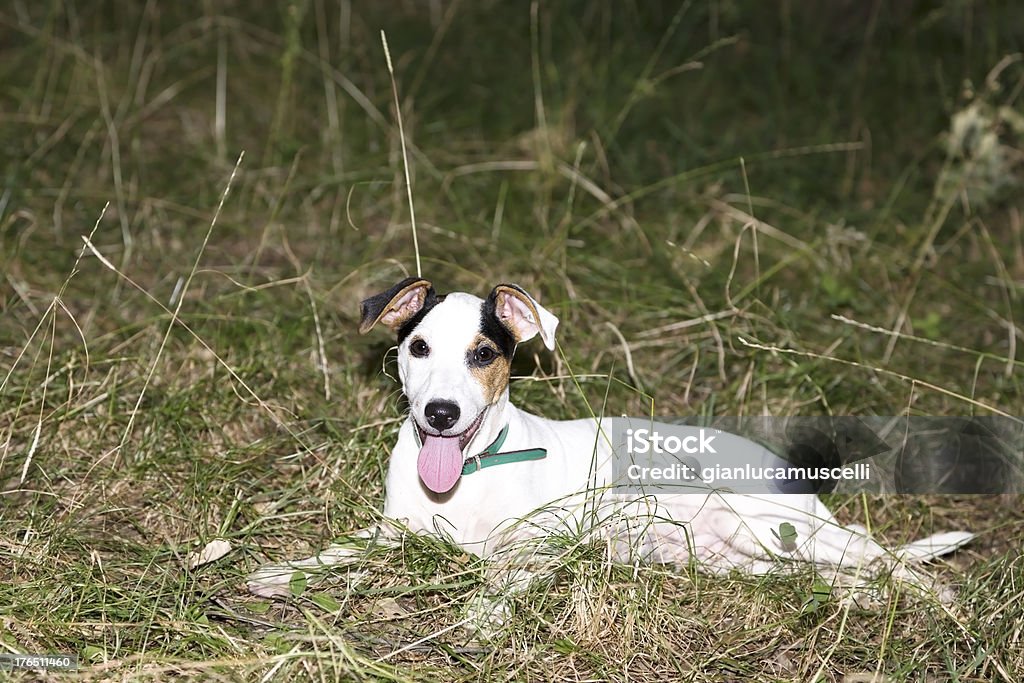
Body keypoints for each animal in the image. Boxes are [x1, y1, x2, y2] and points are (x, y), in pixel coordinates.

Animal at [249, 278, 974, 630]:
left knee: (878, 552)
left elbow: (498, 577)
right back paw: (866, 598)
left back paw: (938, 597)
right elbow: (340, 549)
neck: (474, 471)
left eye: (483, 354)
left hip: (767, 521)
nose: (441, 414)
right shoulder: (393, 530)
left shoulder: (536, 545)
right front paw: (284, 570)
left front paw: (483, 615)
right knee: (835, 573)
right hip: (747, 556)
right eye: (419, 346)